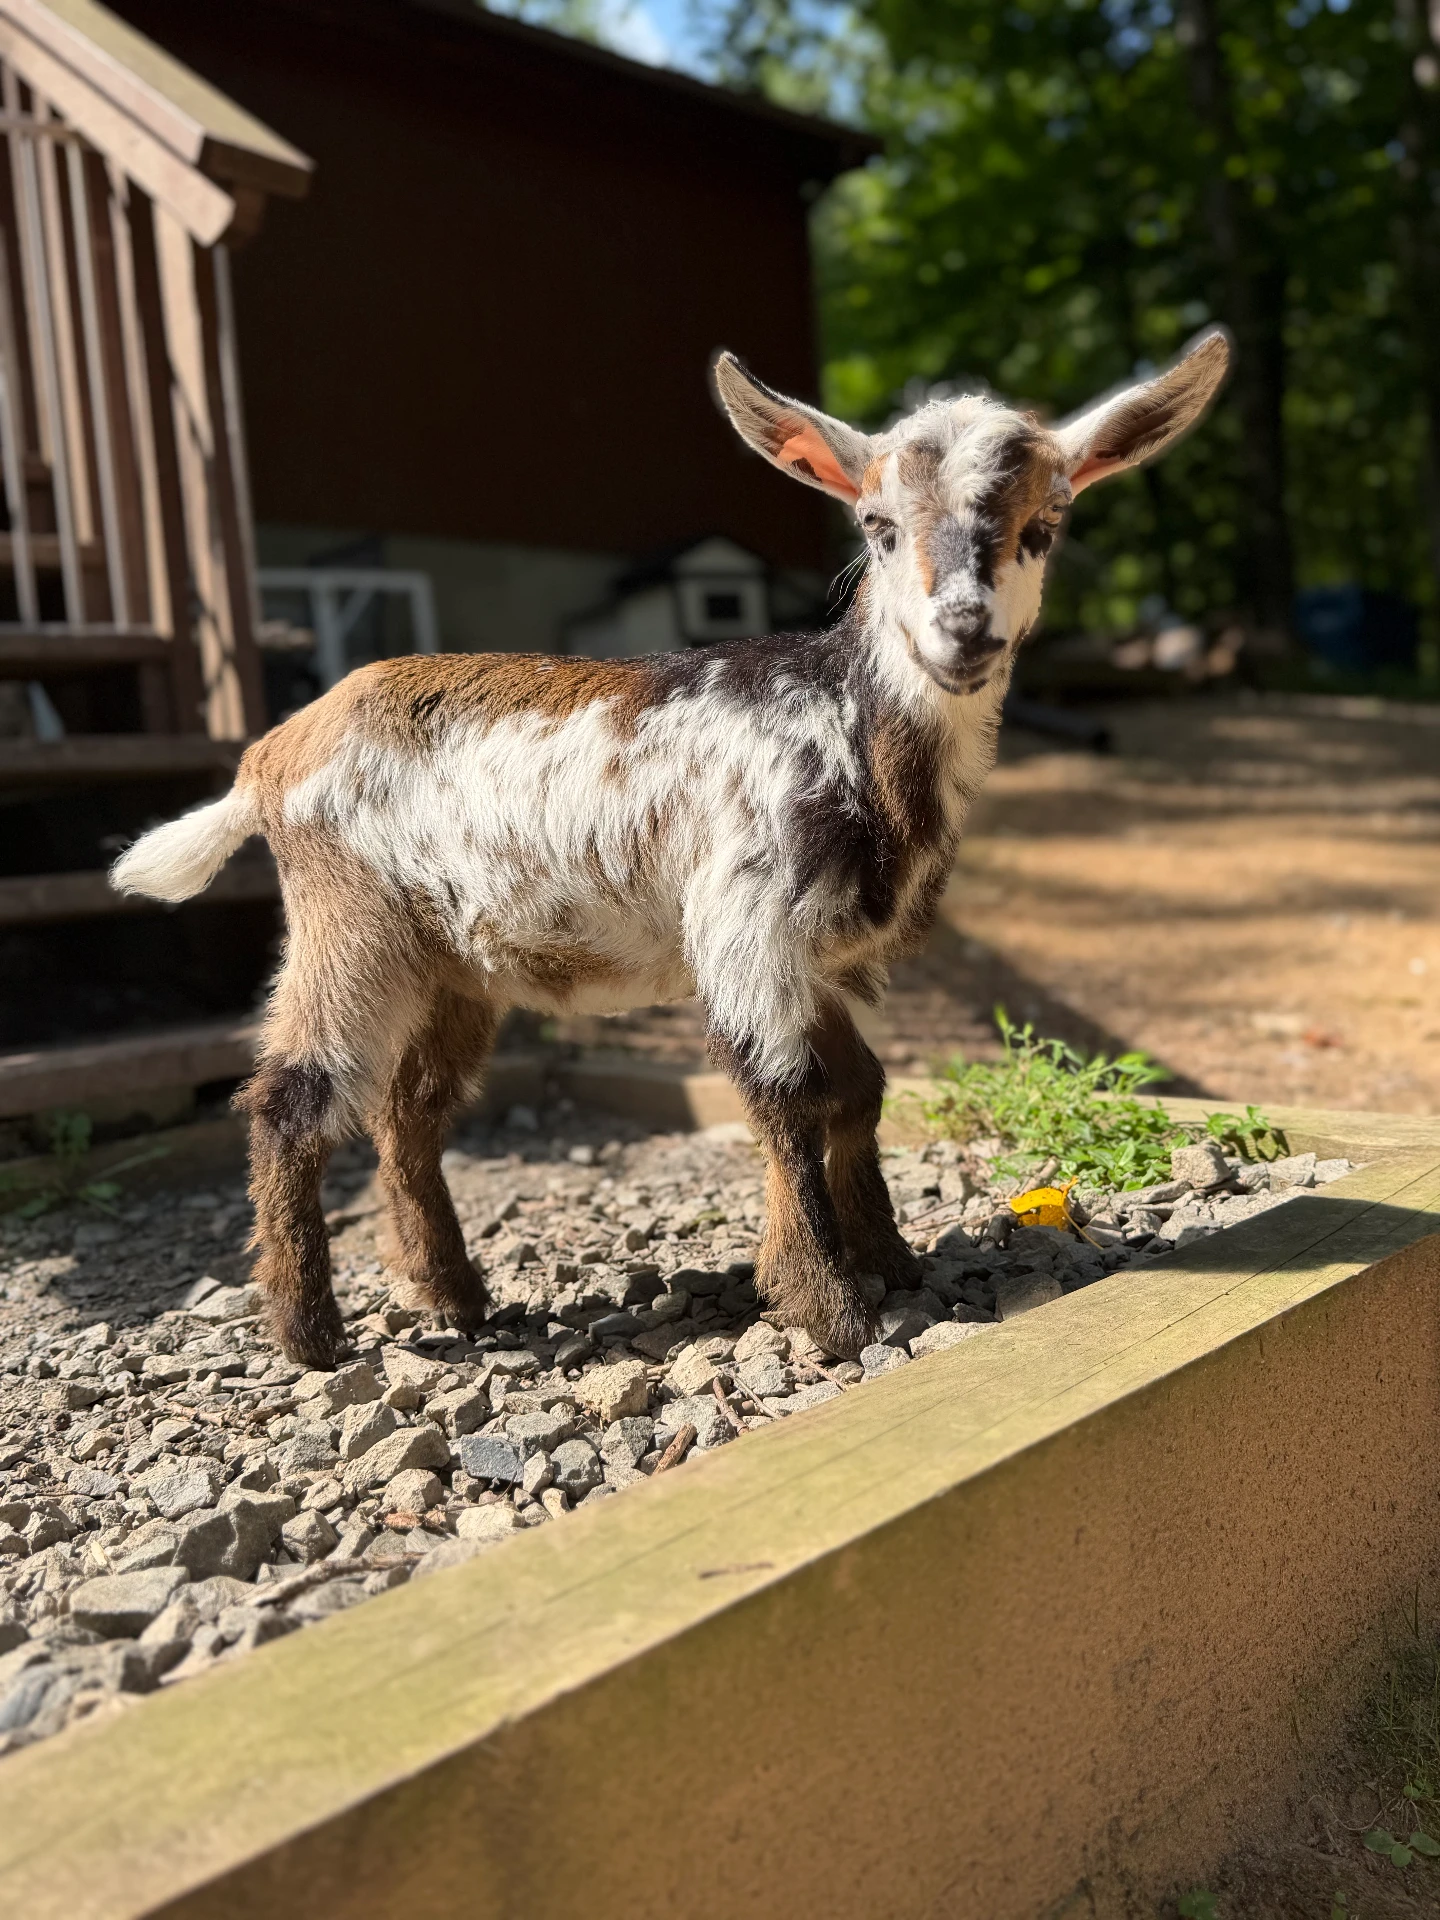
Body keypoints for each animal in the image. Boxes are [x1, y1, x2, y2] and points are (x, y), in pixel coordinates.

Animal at [111, 333, 1229, 1370]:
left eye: (1045, 526)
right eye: (877, 528)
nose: (963, 632)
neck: (844, 722)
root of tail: (269, 754)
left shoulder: (830, 957)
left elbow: (861, 1090)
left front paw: (891, 1258)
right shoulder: (745, 917)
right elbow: (785, 1092)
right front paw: (828, 1307)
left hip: (450, 963)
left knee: (409, 1109)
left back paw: (454, 1297)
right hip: (351, 922)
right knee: (290, 1099)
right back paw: (310, 1334)